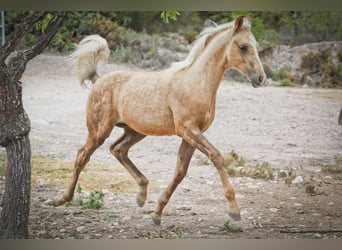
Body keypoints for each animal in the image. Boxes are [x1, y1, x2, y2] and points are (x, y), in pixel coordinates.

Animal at [54, 16, 268, 226]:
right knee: (82, 155)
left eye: (255, 46)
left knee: (118, 149)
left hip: (135, 131)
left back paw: (141, 196)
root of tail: (98, 79)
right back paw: (62, 199)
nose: (260, 78)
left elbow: (180, 172)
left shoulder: (191, 135)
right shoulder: (188, 130)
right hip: (99, 130)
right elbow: (216, 157)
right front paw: (234, 211)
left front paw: (157, 213)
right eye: (243, 46)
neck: (194, 82)